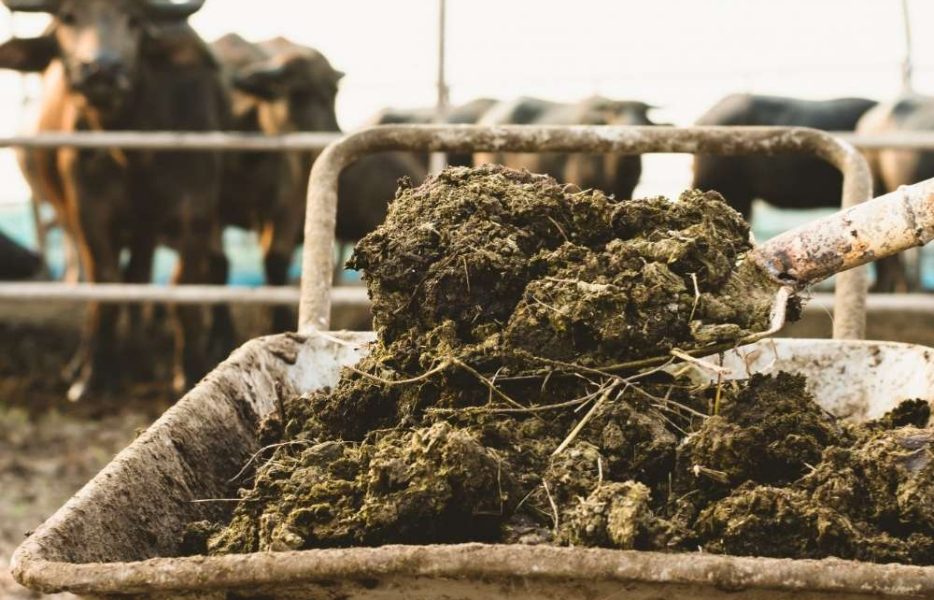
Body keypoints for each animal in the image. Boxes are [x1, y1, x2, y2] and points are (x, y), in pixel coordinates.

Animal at [0, 0, 228, 400]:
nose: (102, 69)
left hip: (145, 229)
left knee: (138, 276)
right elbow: (105, 284)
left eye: (134, 20)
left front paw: (189, 371)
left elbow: (182, 287)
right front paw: (93, 377)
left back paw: (140, 357)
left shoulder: (195, 209)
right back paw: (87, 362)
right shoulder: (89, 210)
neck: (134, 149)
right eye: (68, 18)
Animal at [212, 34, 426, 332]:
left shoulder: (287, 204)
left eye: (333, 94)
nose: (330, 138)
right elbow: (218, 264)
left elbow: (275, 261)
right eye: (298, 92)